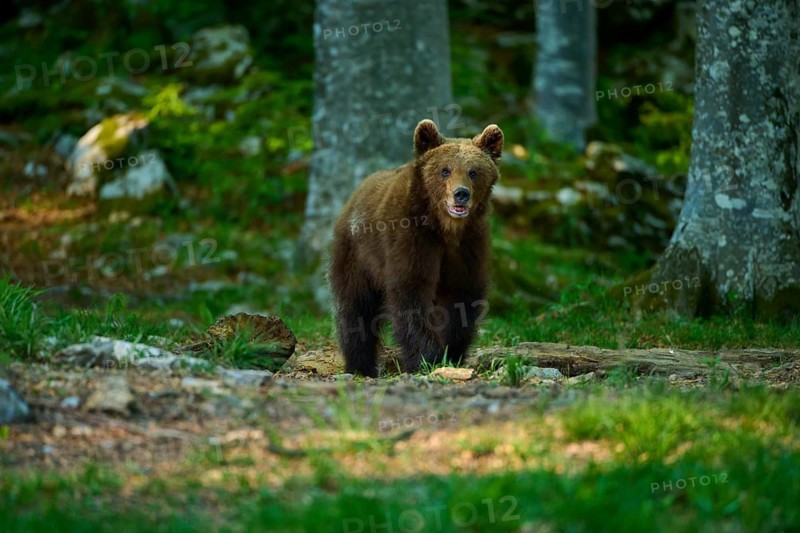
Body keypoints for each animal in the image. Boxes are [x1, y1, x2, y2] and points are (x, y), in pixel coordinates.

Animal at [329, 119, 504, 377]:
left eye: (473, 172)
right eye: (445, 170)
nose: (460, 194)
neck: (444, 229)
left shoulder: (468, 246)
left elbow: (461, 297)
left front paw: (452, 353)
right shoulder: (411, 239)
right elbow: (411, 291)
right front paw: (427, 358)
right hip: (356, 254)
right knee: (355, 307)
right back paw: (361, 365)